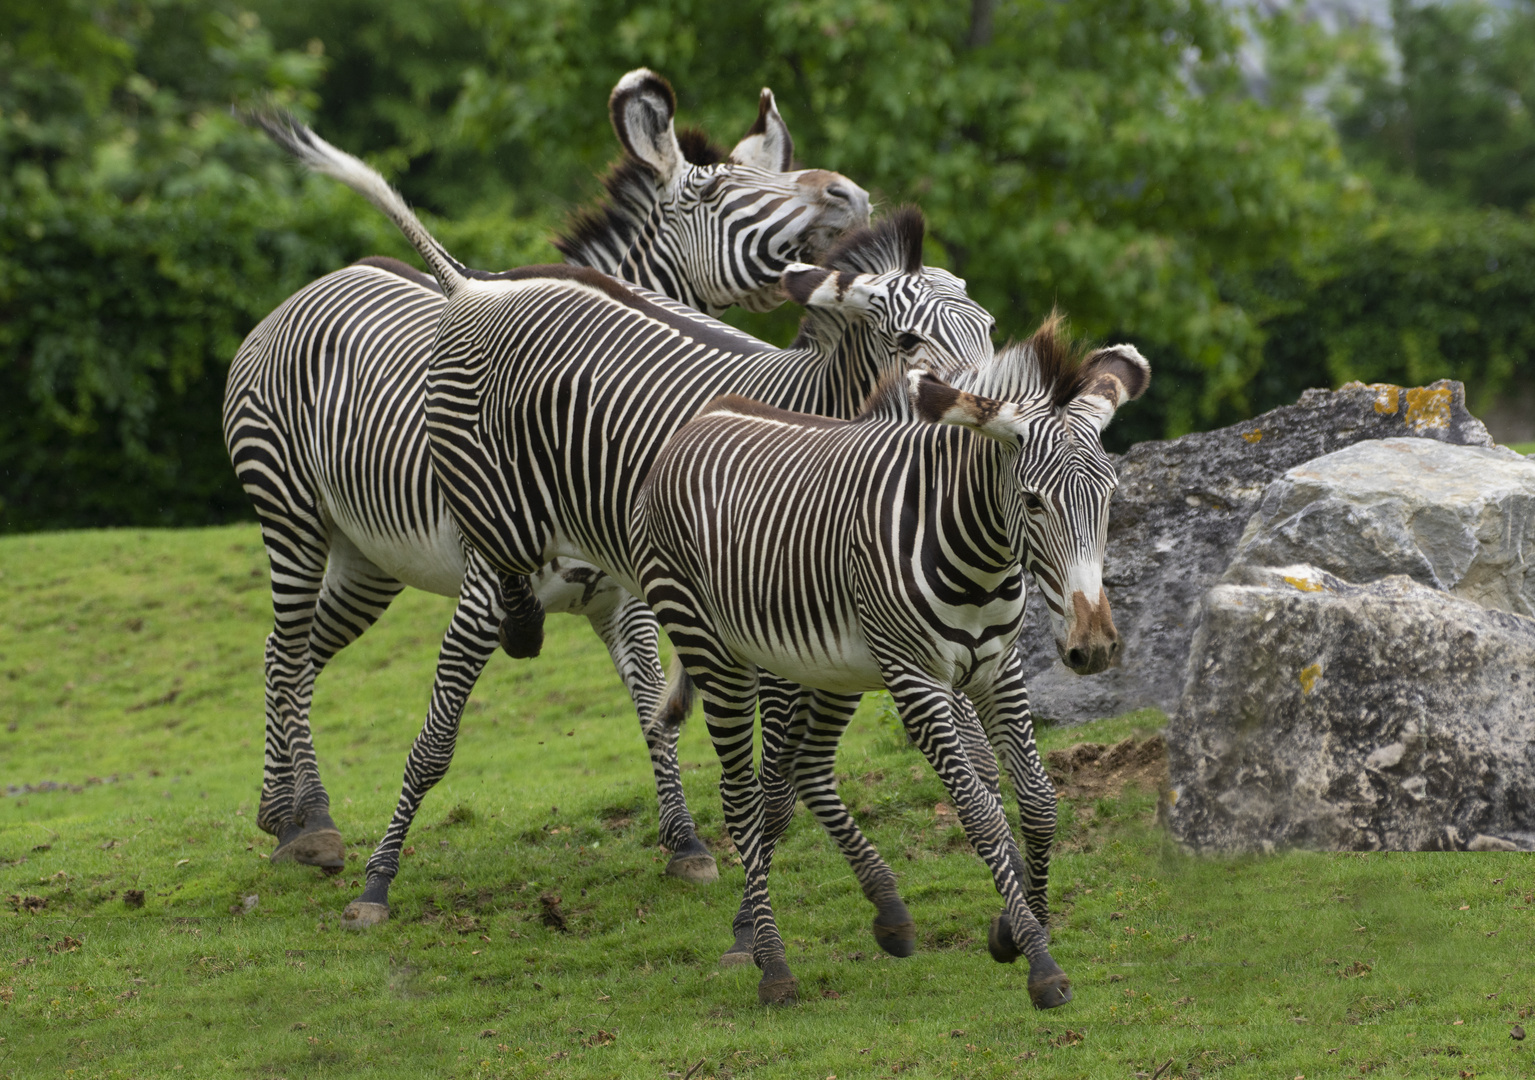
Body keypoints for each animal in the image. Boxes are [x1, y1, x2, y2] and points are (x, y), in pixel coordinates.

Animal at [245, 107, 1000, 945]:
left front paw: (694, 848)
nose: (847, 194)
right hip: (291, 514)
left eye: (990, 327)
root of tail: (328, 281)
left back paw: (286, 813)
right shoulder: (514, 583)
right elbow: (444, 734)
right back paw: (309, 824)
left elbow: (661, 717)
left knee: (295, 655)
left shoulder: (641, 596)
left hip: (368, 559)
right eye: (716, 187)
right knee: (286, 652)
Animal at [632, 320, 1154, 1006]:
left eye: (1110, 496)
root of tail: (696, 423)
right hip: (718, 654)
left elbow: (1039, 802)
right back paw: (771, 964)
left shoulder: (998, 669)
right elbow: (981, 814)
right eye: (1033, 502)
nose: (1092, 648)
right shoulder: (916, 679)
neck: (978, 554)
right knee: (744, 794)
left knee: (804, 772)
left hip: (827, 666)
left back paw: (888, 913)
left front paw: (1020, 929)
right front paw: (1040, 962)